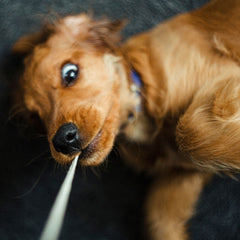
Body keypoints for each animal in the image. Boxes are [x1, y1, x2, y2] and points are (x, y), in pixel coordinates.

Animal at [13, 0, 240, 239]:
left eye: (70, 73)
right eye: (37, 116)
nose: (62, 141)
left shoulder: (221, 73)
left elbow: (191, 131)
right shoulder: (180, 176)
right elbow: (159, 222)